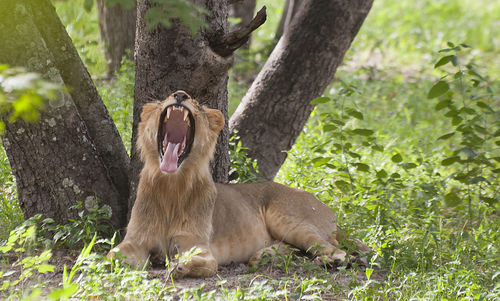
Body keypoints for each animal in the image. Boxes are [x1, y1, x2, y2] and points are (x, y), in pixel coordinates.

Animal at [108, 91, 368, 276]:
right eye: (165, 98)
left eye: (197, 104)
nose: (180, 95)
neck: (171, 186)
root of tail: (326, 207)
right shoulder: (136, 240)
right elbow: (111, 256)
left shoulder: (198, 245)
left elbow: (205, 264)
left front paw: (179, 267)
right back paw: (265, 257)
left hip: (289, 220)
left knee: (333, 248)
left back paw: (329, 260)